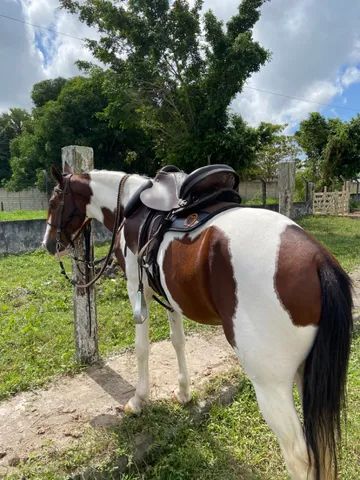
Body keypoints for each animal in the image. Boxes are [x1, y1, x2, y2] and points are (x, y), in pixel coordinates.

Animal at [41, 165, 352, 480]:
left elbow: (142, 349)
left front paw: (139, 401)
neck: (129, 205)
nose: (49, 244)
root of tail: (318, 260)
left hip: (271, 384)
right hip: (307, 376)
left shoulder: (137, 289)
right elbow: (178, 341)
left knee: (300, 456)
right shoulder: (170, 296)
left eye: (54, 201)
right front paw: (184, 393)